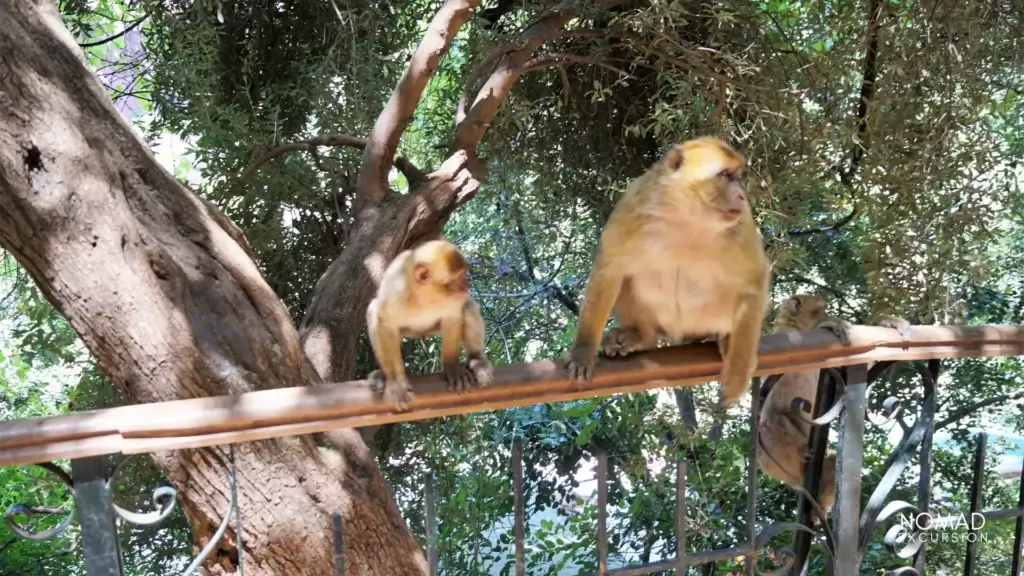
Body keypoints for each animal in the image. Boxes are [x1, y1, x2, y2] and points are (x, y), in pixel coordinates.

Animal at [366, 239, 493, 409]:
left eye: (463, 275)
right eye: (457, 278)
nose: (465, 286)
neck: (424, 297)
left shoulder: (453, 301)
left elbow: (453, 316)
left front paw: (452, 368)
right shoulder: (396, 292)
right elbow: (384, 322)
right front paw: (395, 382)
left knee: (467, 305)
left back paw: (477, 360)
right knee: (374, 311)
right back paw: (382, 375)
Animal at [569, 135, 770, 405]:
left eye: (736, 176)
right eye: (726, 175)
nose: (740, 195)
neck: (687, 218)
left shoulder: (741, 224)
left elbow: (753, 278)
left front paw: (738, 370)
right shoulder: (634, 205)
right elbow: (610, 269)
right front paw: (583, 350)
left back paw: (726, 337)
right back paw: (642, 338)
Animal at [757, 293, 909, 512]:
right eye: (821, 309)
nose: (827, 313)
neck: (794, 325)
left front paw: (884, 321)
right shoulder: (786, 334)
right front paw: (830, 323)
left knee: (831, 460)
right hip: (776, 460)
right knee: (772, 419)